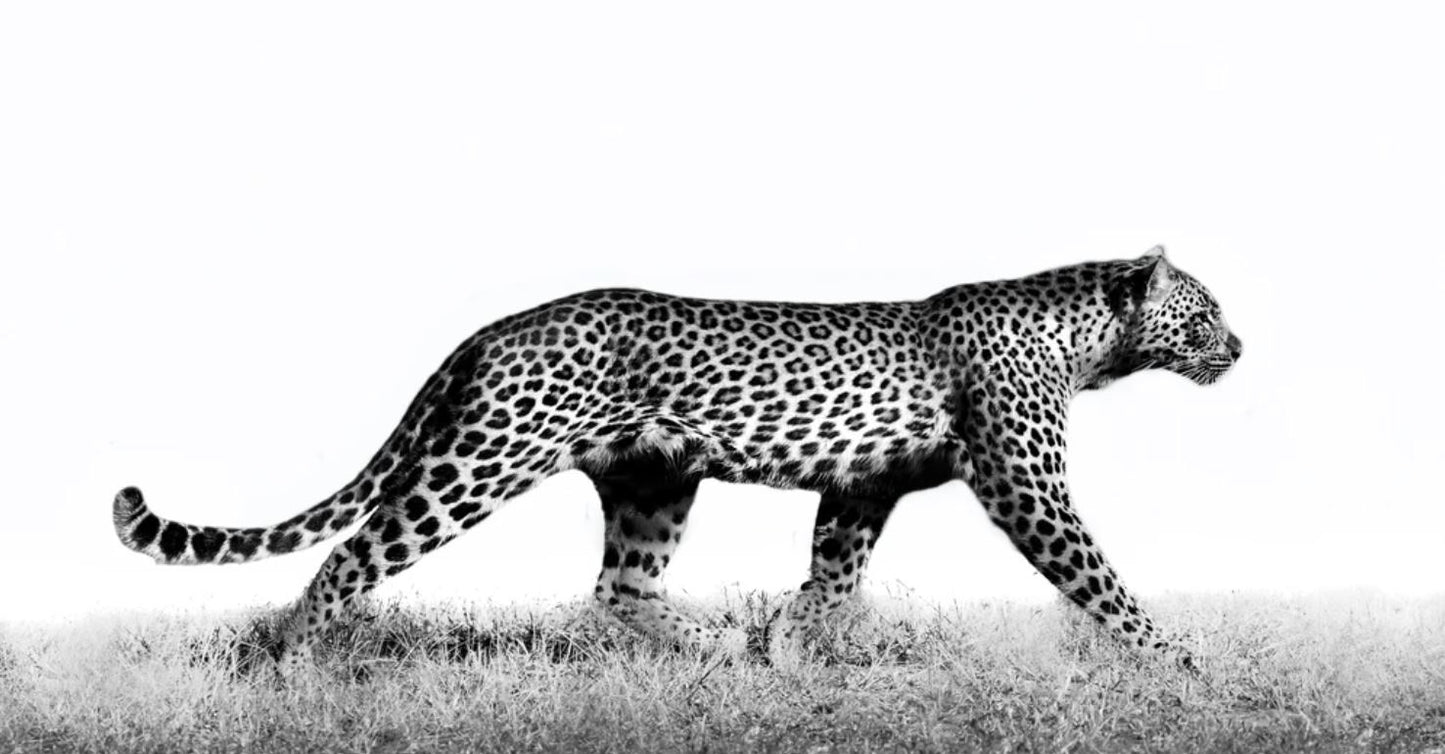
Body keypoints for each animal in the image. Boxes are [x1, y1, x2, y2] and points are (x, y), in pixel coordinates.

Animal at [113, 245, 1241, 672]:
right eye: (1204, 312)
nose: (1238, 348)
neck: (1087, 343)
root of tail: (494, 328)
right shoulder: (1025, 483)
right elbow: (1098, 579)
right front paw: (1181, 662)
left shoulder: (863, 483)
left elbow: (833, 577)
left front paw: (788, 647)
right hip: (478, 463)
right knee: (354, 554)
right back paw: (291, 662)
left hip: (654, 478)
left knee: (620, 588)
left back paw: (714, 644)